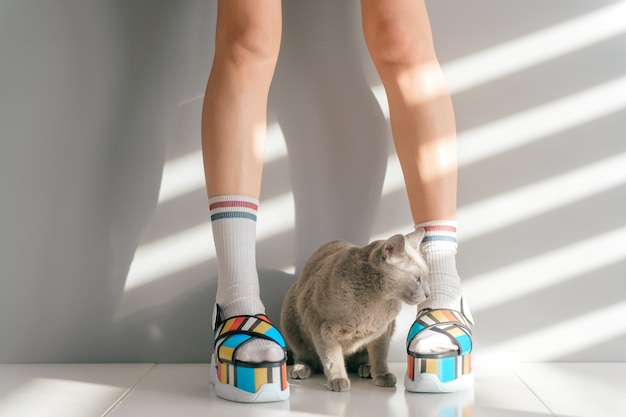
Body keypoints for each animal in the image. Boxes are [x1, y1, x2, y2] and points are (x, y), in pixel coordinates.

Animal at [280, 228, 428, 390]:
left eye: (426, 277)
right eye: (417, 279)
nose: (428, 294)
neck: (376, 302)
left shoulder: (383, 331)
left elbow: (380, 356)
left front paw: (382, 376)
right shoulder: (321, 328)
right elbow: (332, 359)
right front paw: (338, 379)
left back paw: (367, 369)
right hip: (290, 317)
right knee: (304, 355)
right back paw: (300, 369)